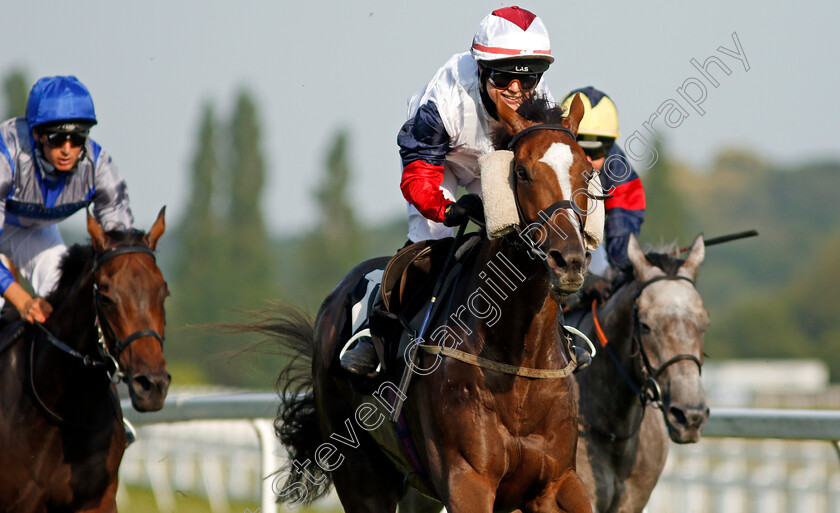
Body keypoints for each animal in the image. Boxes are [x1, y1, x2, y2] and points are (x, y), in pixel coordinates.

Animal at [249, 93, 596, 512]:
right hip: (360, 473)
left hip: (418, 486)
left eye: (586, 173)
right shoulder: (467, 480)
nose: (570, 260)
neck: (517, 362)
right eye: (523, 171)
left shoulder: (558, 482)